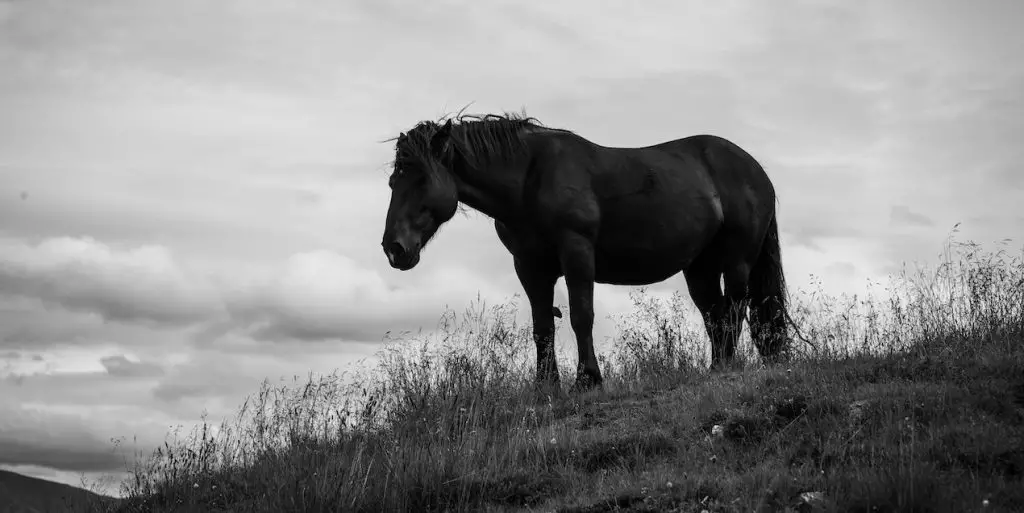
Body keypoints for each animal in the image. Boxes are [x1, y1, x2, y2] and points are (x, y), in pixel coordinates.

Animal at [380, 112, 786, 389]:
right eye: (393, 180)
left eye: (420, 177)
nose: (393, 248)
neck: (530, 178)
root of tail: (756, 171)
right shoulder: (529, 267)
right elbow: (542, 326)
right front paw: (546, 385)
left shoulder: (577, 254)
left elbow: (581, 316)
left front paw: (588, 379)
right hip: (700, 268)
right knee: (715, 315)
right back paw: (717, 367)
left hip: (737, 261)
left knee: (734, 309)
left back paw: (728, 366)